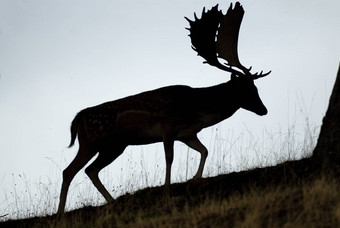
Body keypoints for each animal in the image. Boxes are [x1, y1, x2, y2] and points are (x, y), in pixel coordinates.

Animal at [57, 2, 270, 214]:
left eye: (256, 87)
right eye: (247, 89)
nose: (264, 110)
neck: (198, 109)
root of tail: (79, 117)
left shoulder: (188, 134)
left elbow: (204, 151)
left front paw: (195, 178)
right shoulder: (168, 127)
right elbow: (170, 158)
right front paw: (168, 193)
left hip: (114, 146)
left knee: (90, 170)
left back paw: (112, 201)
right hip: (91, 142)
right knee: (69, 171)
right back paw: (60, 213)